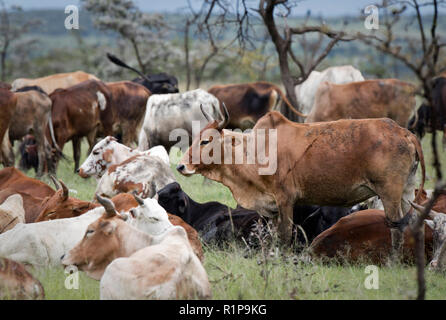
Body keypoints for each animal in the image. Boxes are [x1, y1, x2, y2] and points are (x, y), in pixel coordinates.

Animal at [178, 105, 426, 260]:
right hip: (406, 192)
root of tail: (403, 132)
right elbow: (271, 237)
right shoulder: (271, 208)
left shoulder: (286, 200)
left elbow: (285, 235)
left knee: (396, 228)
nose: (181, 166)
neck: (255, 150)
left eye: (206, 140)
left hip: (389, 192)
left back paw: (393, 261)